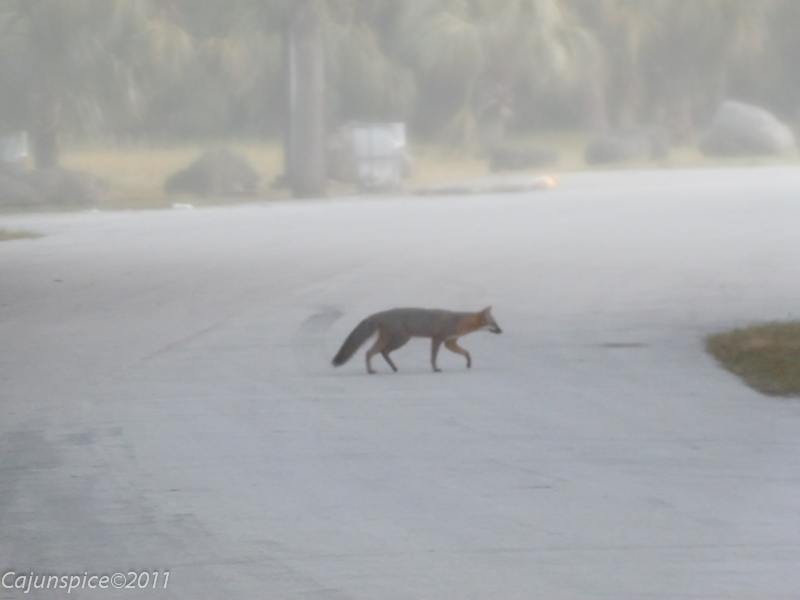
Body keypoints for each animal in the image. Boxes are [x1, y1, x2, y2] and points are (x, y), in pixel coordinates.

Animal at [332, 307, 502, 374]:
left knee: (380, 352)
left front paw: (468, 363)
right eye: (494, 324)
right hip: (401, 340)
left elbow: (466, 353)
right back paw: (371, 370)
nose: (501, 331)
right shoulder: (438, 338)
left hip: (396, 340)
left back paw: (393, 368)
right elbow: (433, 357)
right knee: (371, 352)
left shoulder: (449, 342)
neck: (457, 321)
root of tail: (380, 314)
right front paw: (435, 368)